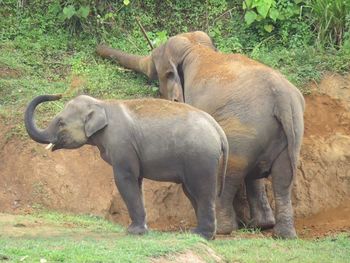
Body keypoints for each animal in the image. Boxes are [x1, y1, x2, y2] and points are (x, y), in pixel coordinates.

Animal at [23, 94, 227, 240]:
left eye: (61, 123)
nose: (57, 95)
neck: (101, 104)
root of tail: (218, 130)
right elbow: (137, 181)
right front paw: (141, 230)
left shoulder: (122, 144)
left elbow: (124, 179)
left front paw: (134, 232)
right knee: (192, 193)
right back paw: (199, 234)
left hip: (200, 158)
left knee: (202, 191)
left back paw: (202, 236)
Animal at [96, 31, 306, 239]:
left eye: (158, 72)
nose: (99, 47)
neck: (195, 47)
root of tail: (283, 99)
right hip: (288, 132)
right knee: (281, 178)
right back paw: (273, 230)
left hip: (243, 131)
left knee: (230, 171)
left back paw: (222, 229)